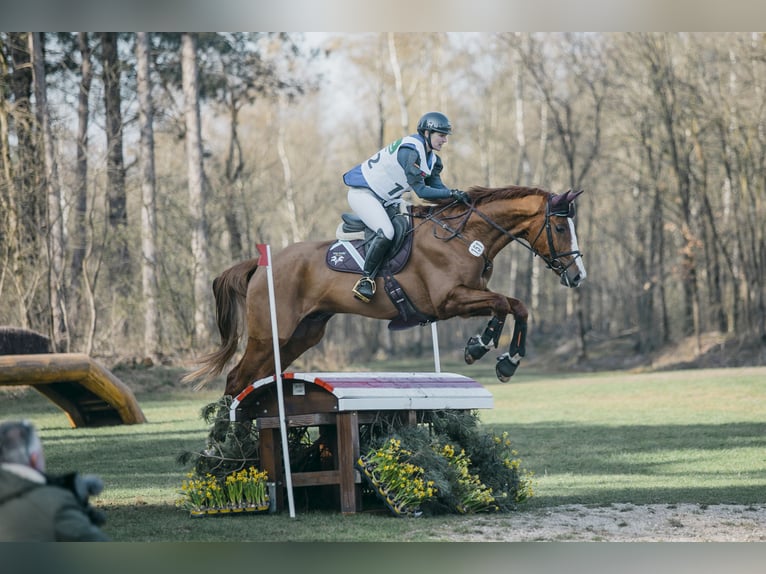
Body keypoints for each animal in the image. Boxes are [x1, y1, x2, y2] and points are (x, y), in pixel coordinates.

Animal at [184, 187, 588, 398]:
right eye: (560, 228)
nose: (577, 276)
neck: (465, 236)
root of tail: (260, 264)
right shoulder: (449, 300)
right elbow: (503, 303)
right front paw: (480, 347)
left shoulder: (468, 297)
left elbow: (517, 306)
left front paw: (508, 361)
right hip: (268, 336)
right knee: (236, 379)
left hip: (300, 336)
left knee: (256, 379)